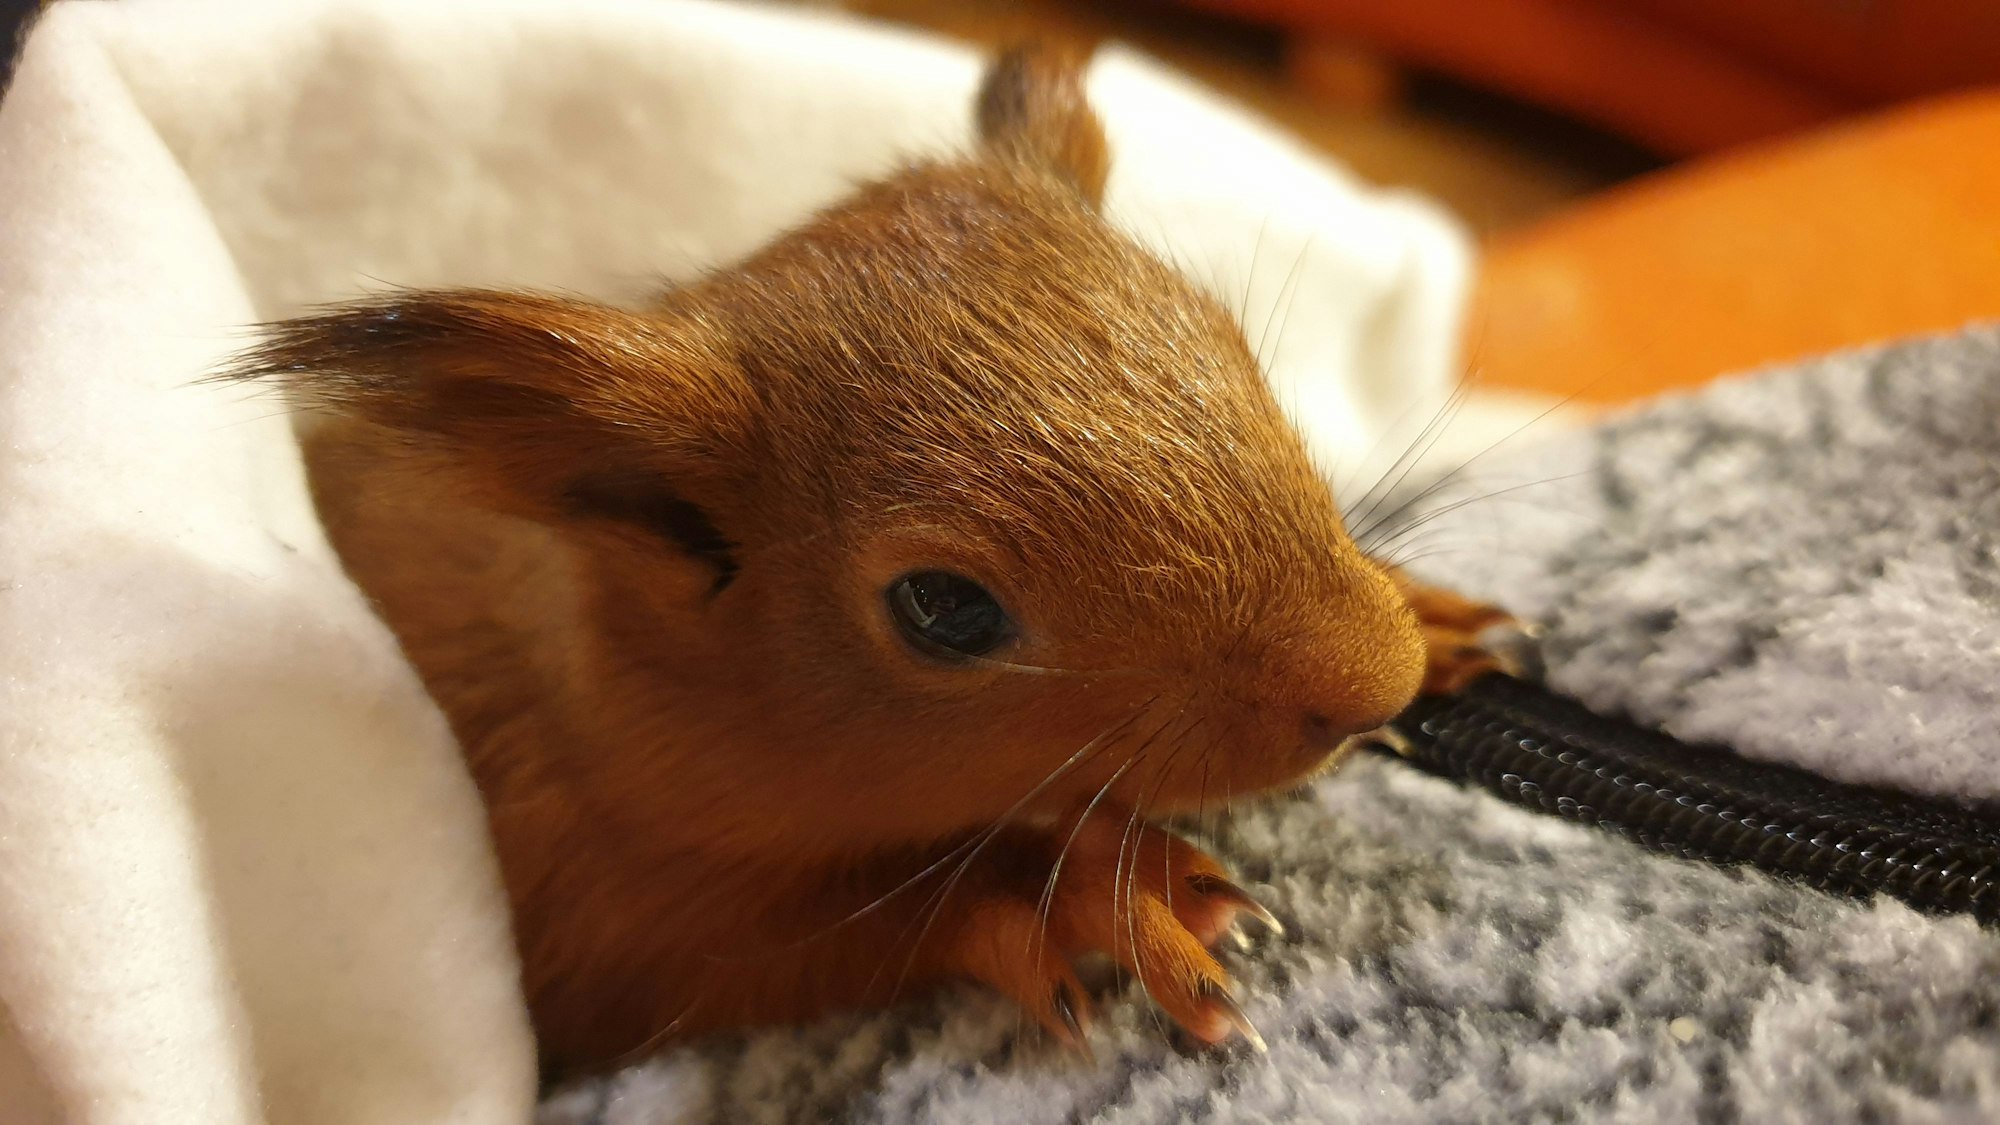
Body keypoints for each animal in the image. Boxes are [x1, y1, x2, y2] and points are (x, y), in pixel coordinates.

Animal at [227, 43, 1510, 1076]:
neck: (604, 675)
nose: (1375, 680)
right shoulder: (581, 900)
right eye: (941, 608)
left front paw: (1435, 617)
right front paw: (1090, 894)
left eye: (1231, 341)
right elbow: (810, 936)